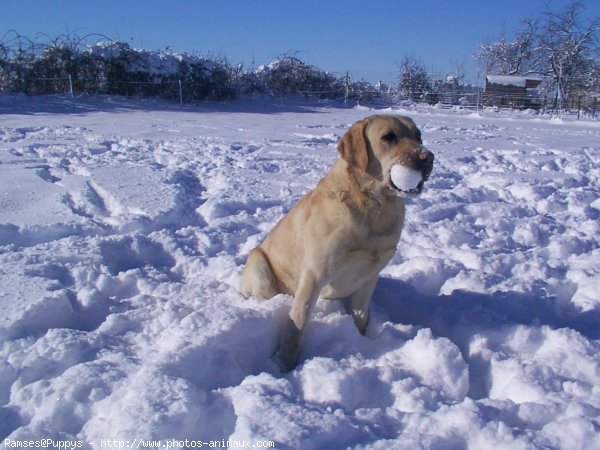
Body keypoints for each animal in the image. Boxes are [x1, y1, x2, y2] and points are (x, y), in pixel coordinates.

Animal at [241, 114, 434, 370]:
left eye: (418, 135)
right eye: (388, 137)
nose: (427, 157)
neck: (373, 206)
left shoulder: (370, 276)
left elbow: (360, 316)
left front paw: (361, 339)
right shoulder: (313, 276)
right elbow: (296, 326)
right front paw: (286, 368)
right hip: (260, 265)